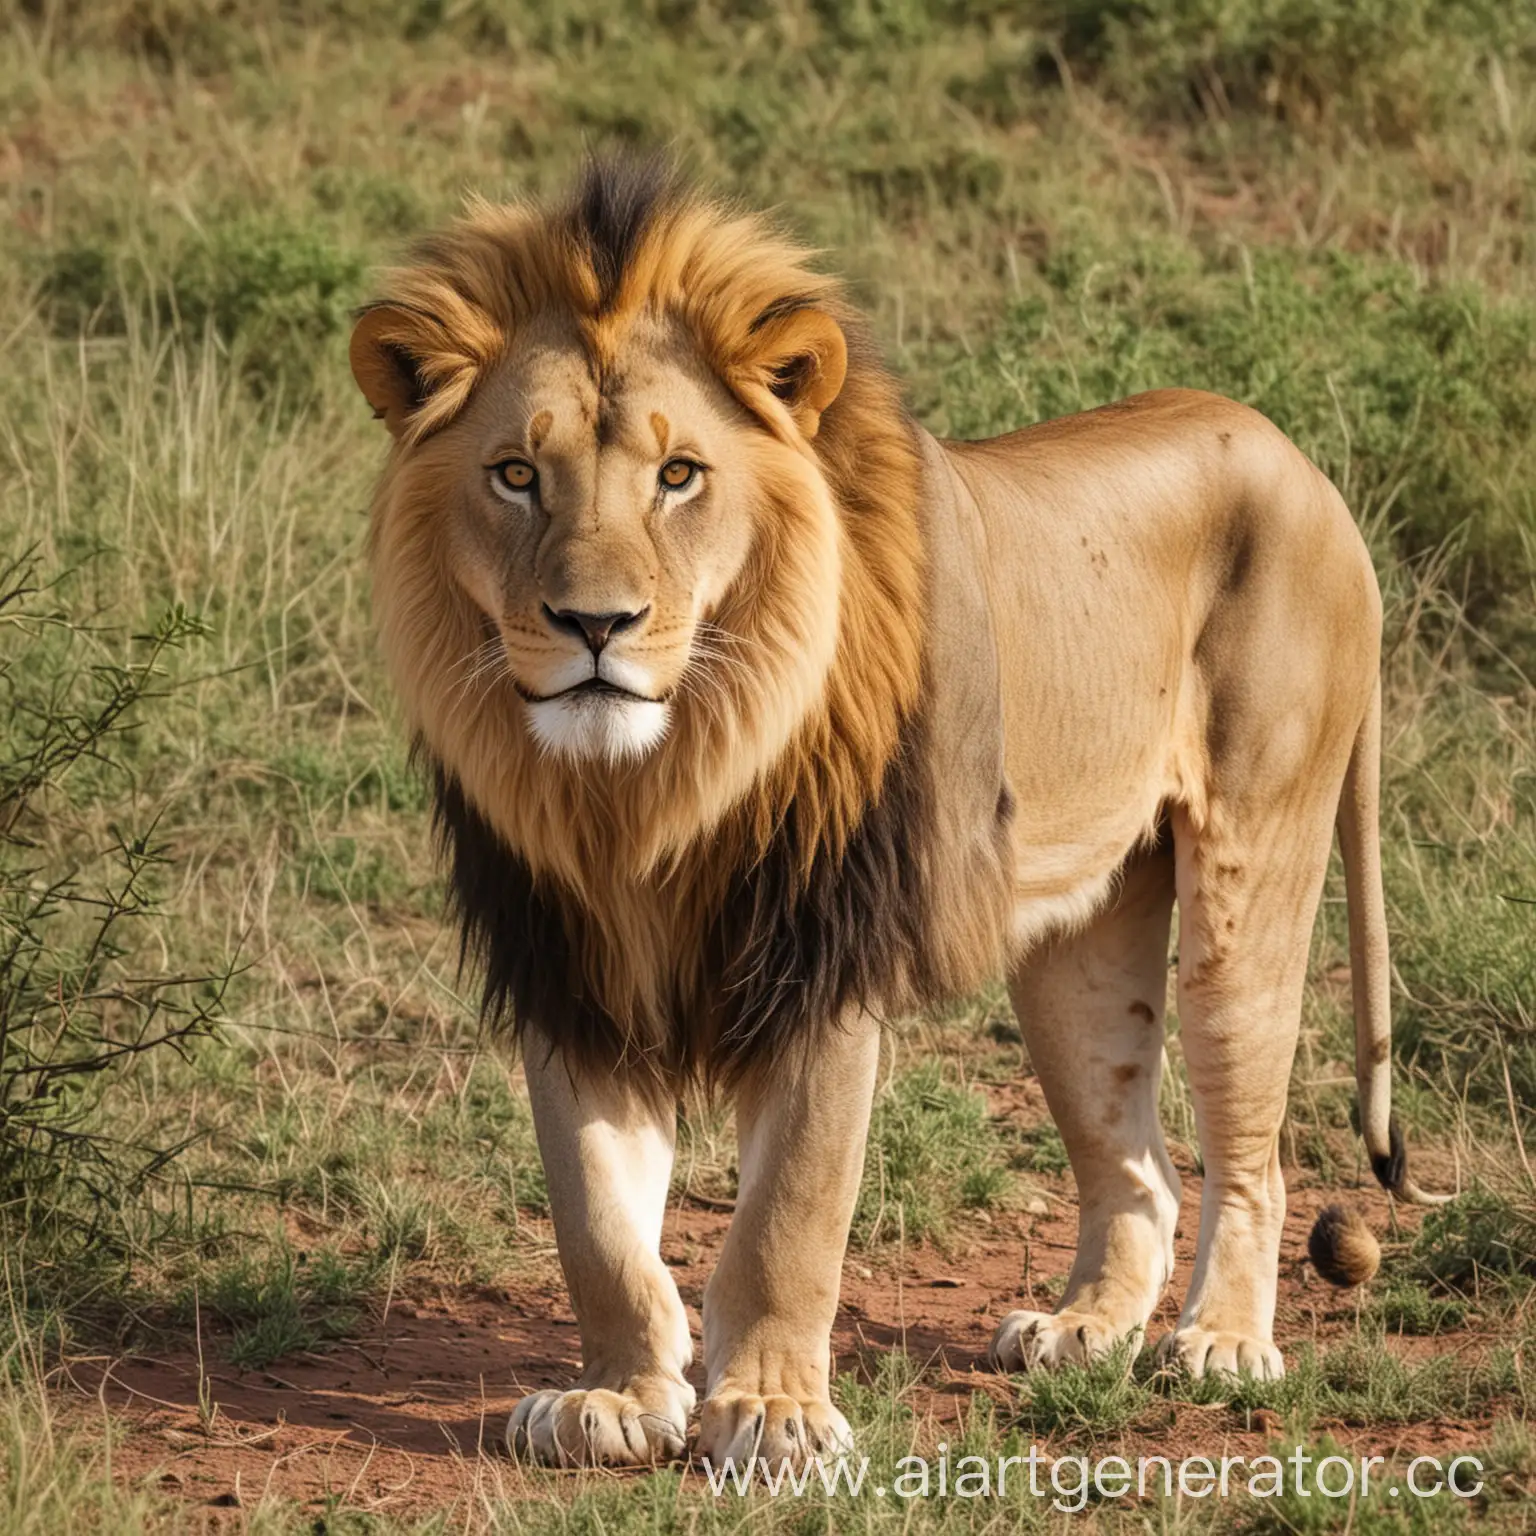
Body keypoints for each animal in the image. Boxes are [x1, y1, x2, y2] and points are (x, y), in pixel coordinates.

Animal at [348, 162, 1437, 1468]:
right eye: (516, 474)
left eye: (679, 476)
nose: (594, 626)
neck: (648, 791)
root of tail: (1305, 464)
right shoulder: (566, 962)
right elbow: (597, 1221)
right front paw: (617, 1396)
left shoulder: (823, 957)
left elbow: (789, 1212)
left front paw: (769, 1414)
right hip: (1077, 949)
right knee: (1137, 1166)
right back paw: (1085, 1328)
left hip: (1251, 865)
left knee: (1250, 1149)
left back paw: (1221, 1343)